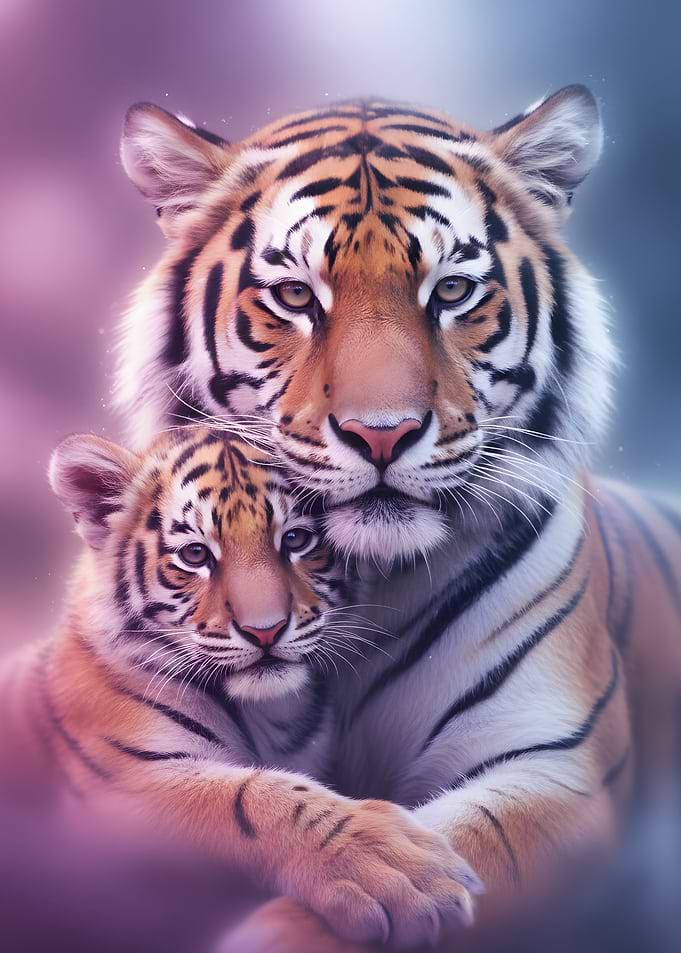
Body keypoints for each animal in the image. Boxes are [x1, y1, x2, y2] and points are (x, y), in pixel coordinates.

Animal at [0, 428, 481, 949]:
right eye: (195, 555)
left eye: (296, 539)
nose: (265, 631)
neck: (270, 714)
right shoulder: (122, 782)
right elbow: (253, 798)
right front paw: (399, 869)